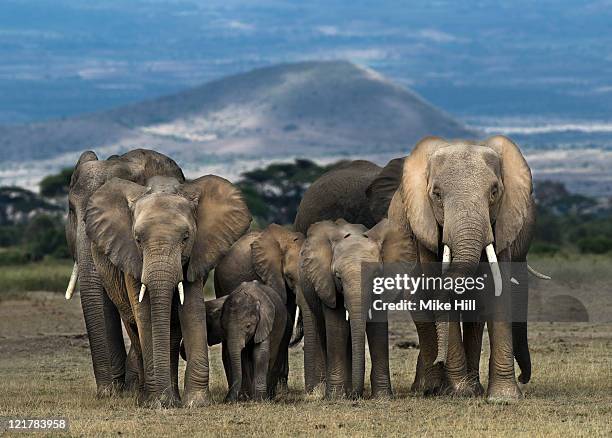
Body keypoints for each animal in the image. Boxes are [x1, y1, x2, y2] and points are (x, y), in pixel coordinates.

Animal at [83, 175, 251, 408]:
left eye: (186, 238)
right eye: (137, 239)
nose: (163, 401)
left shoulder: (196, 255)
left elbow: (191, 310)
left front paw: (196, 403)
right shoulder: (130, 256)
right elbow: (145, 314)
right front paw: (157, 402)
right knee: (135, 329)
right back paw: (145, 397)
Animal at [298, 218, 416, 396]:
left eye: (376, 276)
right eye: (338, 277)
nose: (356, 394)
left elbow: (377, 329)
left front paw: (382, 396)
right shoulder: (327, 282)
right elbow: (337, 326)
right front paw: (336, 397)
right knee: (321, 329)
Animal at [366, 135, 548, 402]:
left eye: (494, 192)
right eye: (437, 194)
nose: (524, 378)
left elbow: (496, 292)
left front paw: (503, 397)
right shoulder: (425, 229)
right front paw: (460, 391)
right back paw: (432, 388)